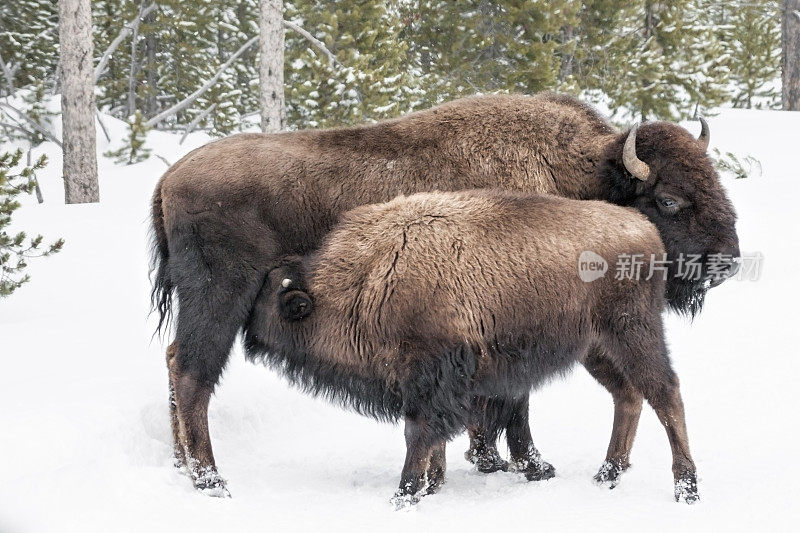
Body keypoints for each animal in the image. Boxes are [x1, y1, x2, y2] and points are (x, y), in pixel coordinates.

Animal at [153, 91, 740, 494]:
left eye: (714, 180)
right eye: (668, 199)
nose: (727, 263)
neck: (581, 168)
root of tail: (170, 180)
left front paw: (486, 460)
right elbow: (514, 402)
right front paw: (526, 465)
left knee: (174, 360)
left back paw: (182, 465)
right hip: (218, 299)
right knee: (194, 373)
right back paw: (210, 479)